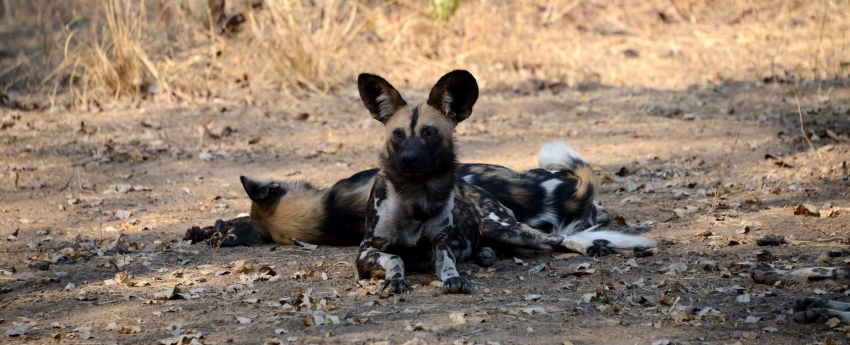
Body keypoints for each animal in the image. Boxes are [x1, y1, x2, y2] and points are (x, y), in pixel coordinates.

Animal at [354, 70, 652, 292]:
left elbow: (447, 264)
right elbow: (396, 257)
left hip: (502, 227)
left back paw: (591, 245)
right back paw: (486, 254)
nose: (409, 159)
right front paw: (396, 280)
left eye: (430, 132)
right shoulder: (365, 252)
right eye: (397, 134)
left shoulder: (441, 243)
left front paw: (453, 278)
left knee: (556, 237)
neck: (416, 196)